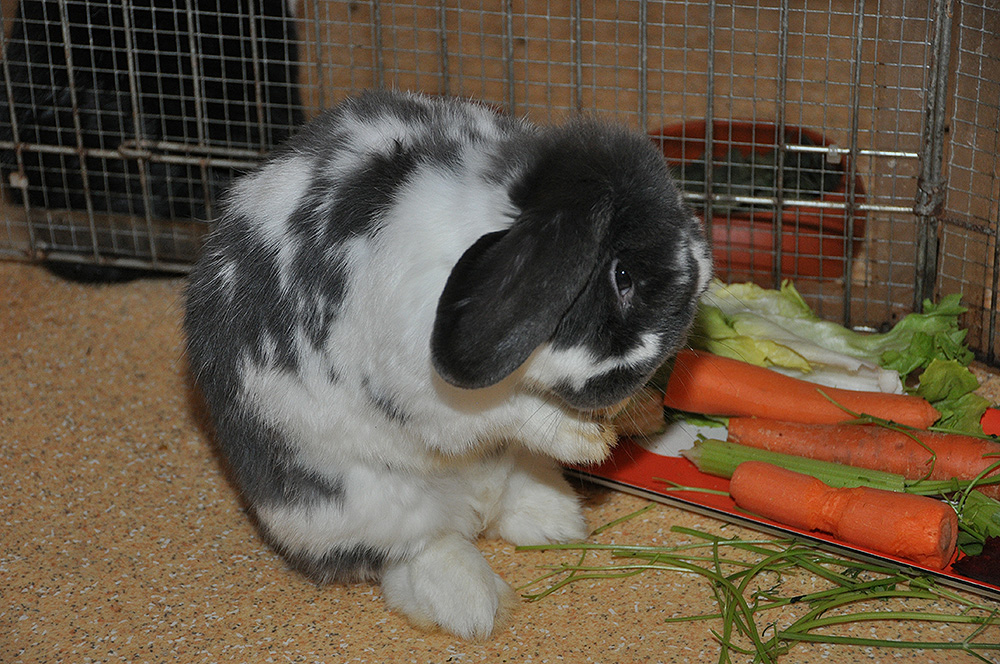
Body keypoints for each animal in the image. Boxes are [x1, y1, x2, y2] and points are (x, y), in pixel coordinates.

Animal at [182, 91, 712, 640]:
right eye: (622, 276)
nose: (687, 313)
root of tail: (471, 506)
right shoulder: (422, 390)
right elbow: (503, 413)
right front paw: (587, 440)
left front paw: (637, 415)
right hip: (356, 504)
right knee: (414, 547)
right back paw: (471, 605)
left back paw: (554, 522)